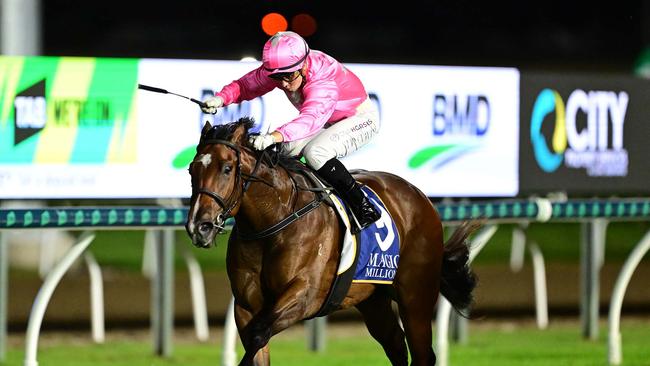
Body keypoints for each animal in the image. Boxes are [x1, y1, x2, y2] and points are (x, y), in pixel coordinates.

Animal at [185, 118, 478, 364]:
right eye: (191, 169)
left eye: (227, 168)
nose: (199, 226)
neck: (273, 221)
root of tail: (420, 195)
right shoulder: (245, 306)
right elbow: (255, 345)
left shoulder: (306, 295)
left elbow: (259, 333)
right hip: (372, 298)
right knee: (395, 344)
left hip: (416, 295)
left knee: (422, 353)